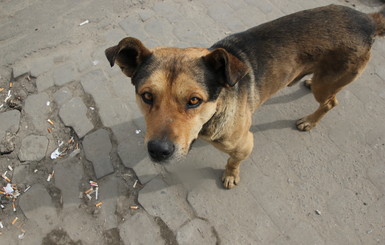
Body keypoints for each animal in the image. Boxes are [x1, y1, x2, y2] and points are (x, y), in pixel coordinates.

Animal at [105, 5, 384, 189]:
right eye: (147, 96)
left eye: (194, 101)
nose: (158, 151)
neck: (215, 111)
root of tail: (368, 18)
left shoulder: (245, 143)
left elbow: (233, 161)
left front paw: (230, 175)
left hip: (325, 86)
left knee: (331, 101)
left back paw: (310, 121)